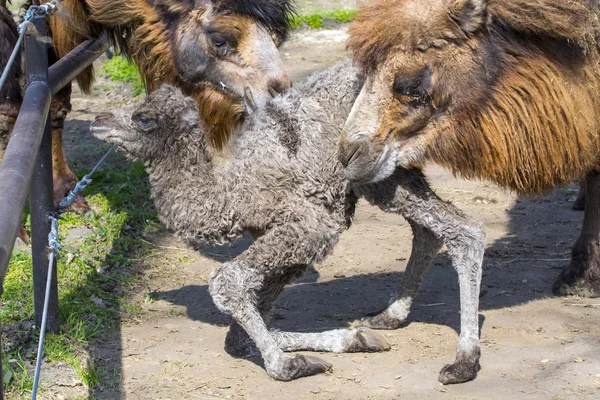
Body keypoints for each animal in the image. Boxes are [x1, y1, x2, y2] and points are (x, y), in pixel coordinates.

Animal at [90, 61, 488, 384]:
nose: (98, 120)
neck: (228, 189)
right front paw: (354, 339)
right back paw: (389, 317)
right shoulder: (289, 244)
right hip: (388, 177)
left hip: (381, 174)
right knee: (430, 230)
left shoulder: (310, 225)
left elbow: (228, 283)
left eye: (143, 118)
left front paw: (286, 366)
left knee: (466, 230)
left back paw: (463, 363)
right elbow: (239, 335)